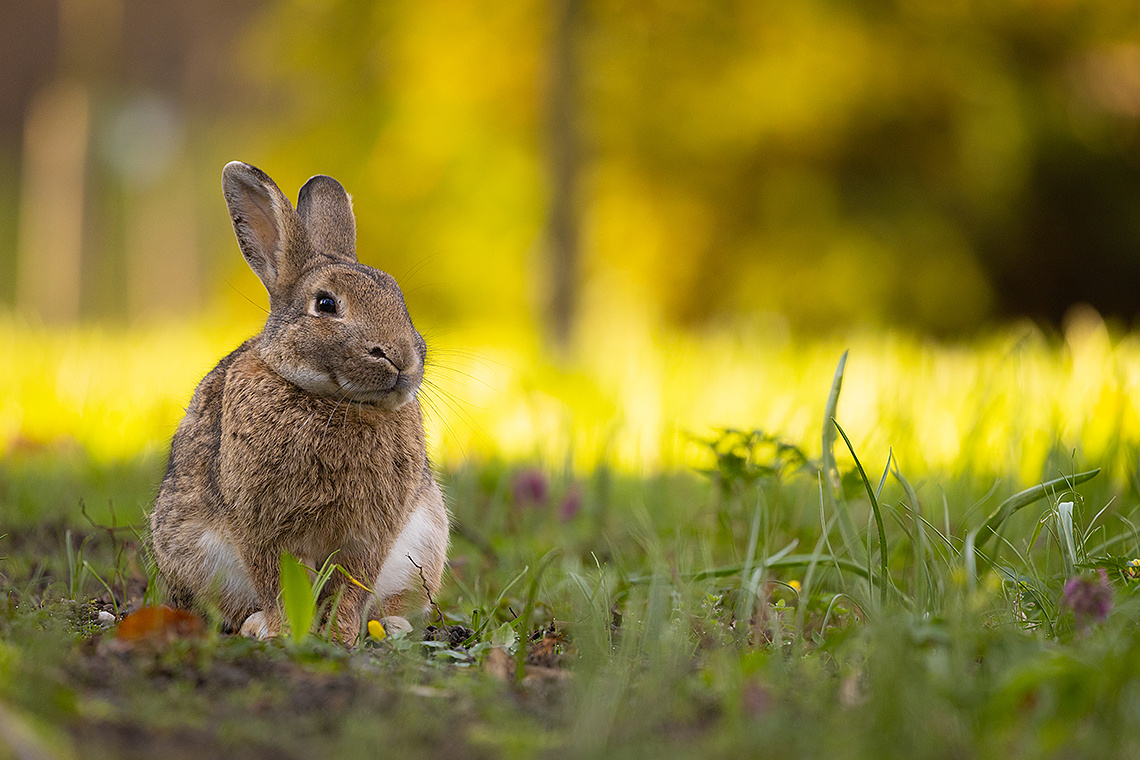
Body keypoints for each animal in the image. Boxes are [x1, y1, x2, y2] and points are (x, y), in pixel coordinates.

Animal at [148, 161, 449, 642]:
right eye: (325, 304)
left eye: (398, 298)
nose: (401, 358)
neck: (334, 400)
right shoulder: (263, 528)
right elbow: (276, 583)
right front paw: (286, 632)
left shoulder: (371, 535)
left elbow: (352, 588)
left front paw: (341, 637)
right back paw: (255, 626)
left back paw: (392, 627)